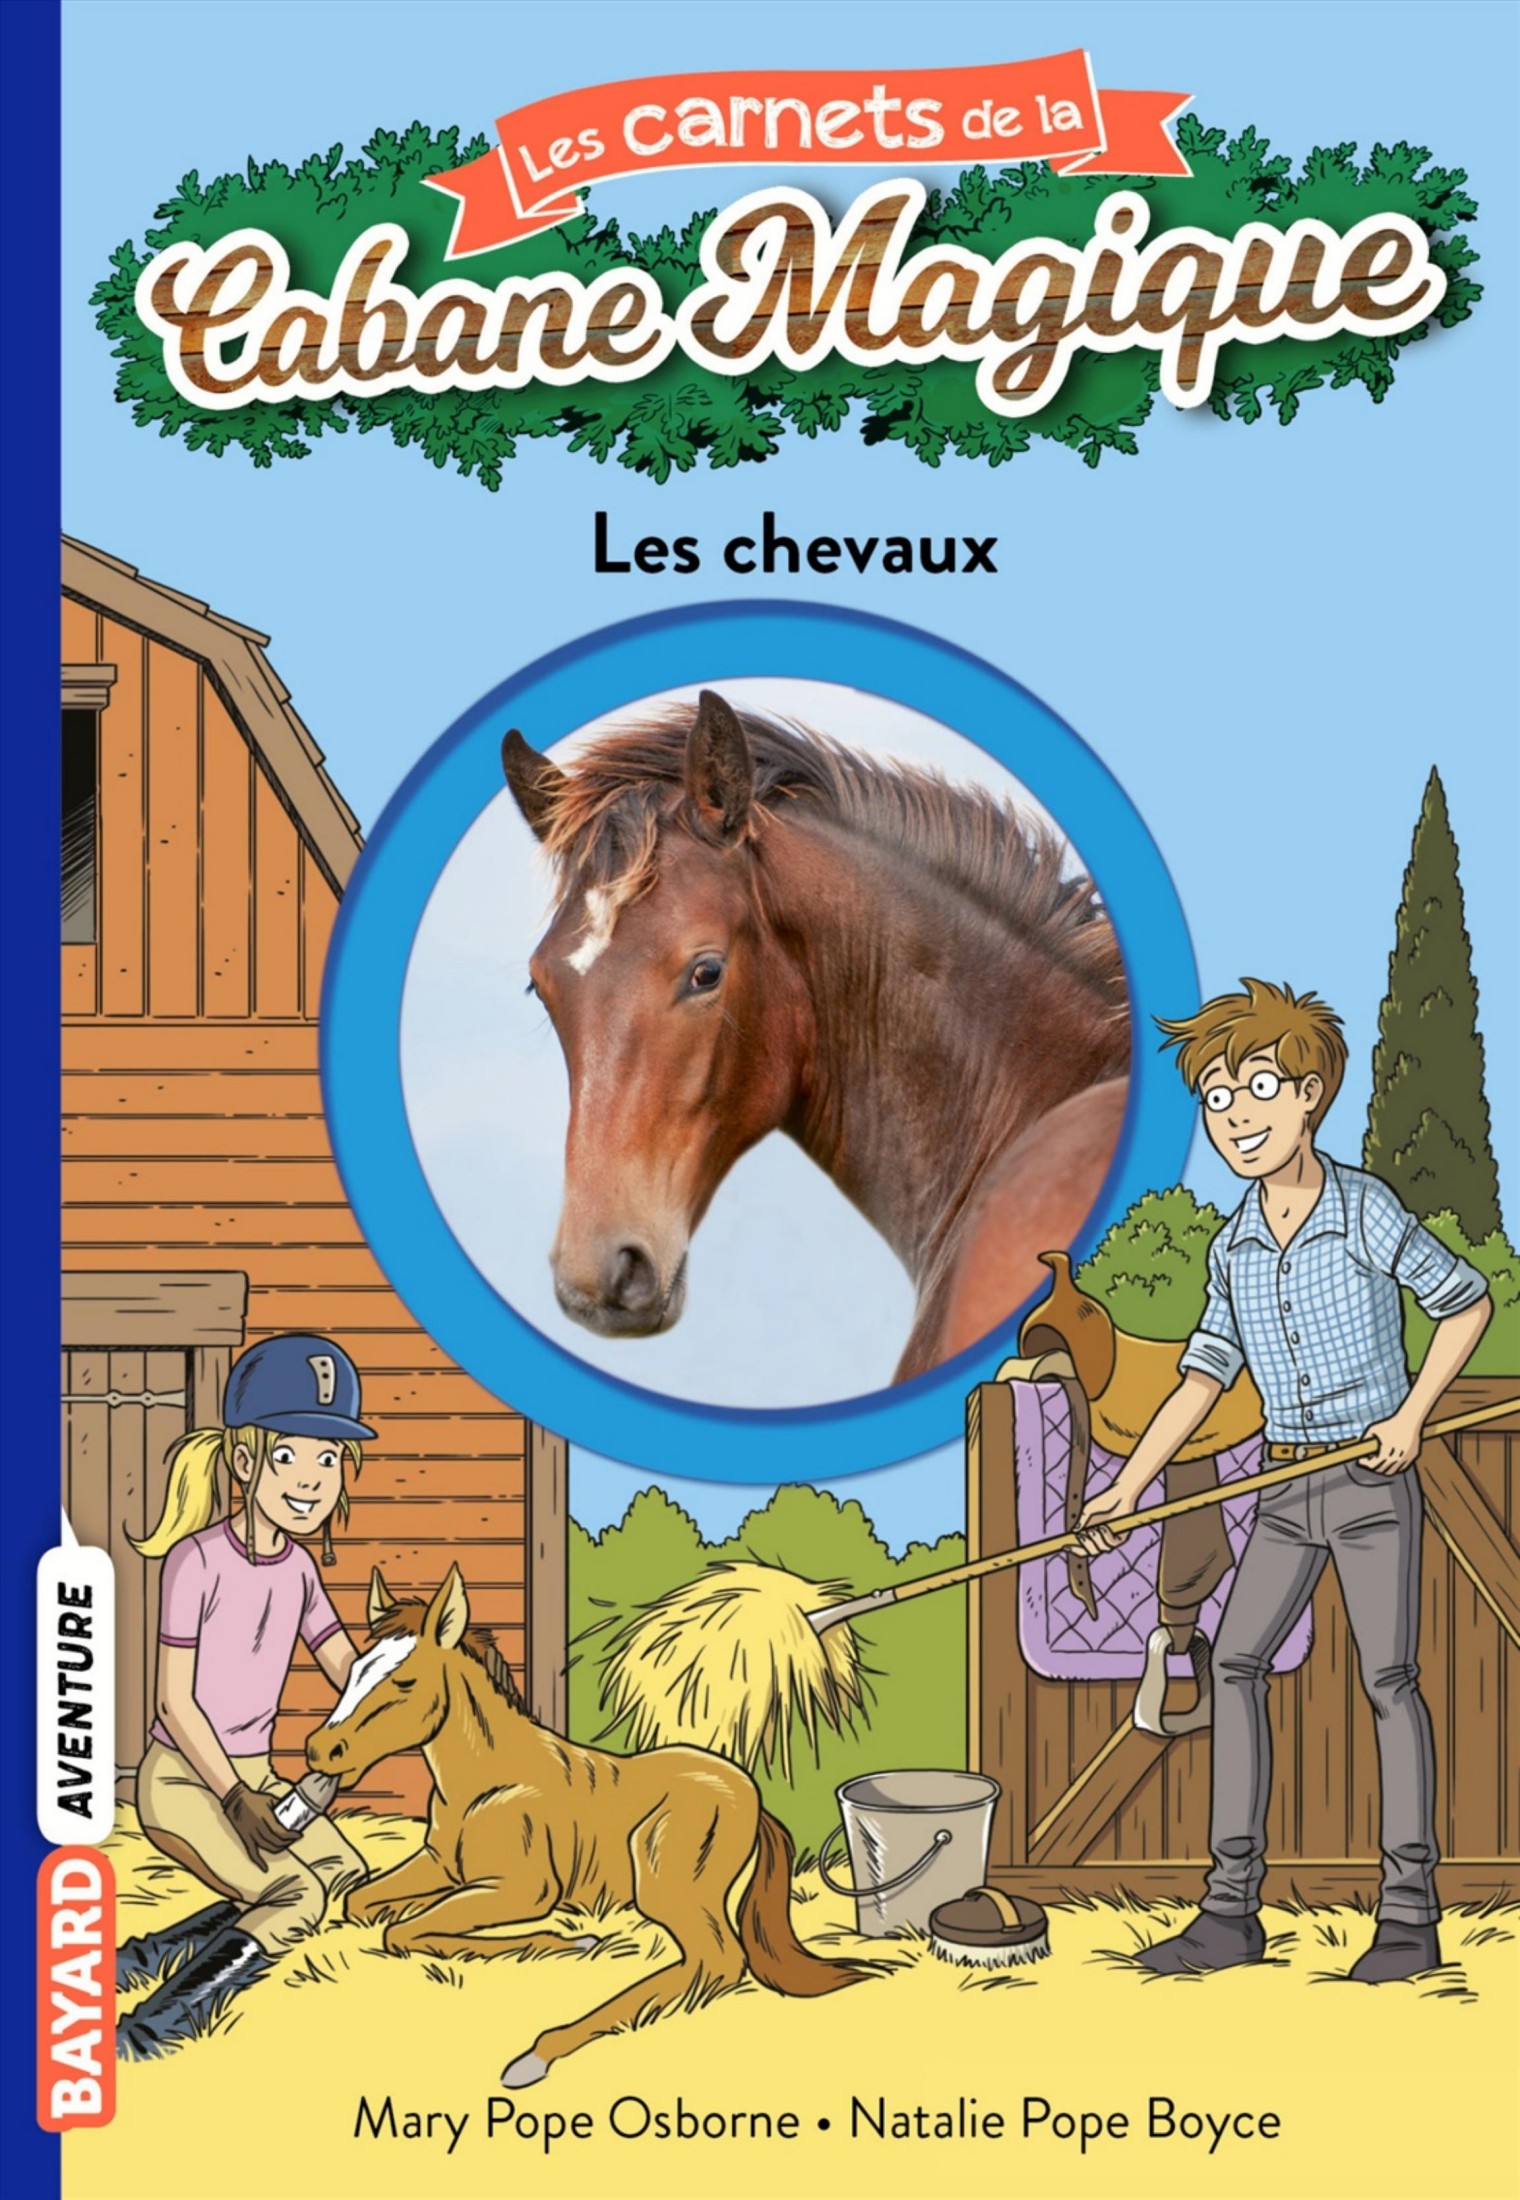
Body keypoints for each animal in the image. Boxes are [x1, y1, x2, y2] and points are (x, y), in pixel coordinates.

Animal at [306, 1565, 866, 2086]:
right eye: (353, 1670)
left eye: (405, 1681)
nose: (320, 1750)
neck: (487, 1781)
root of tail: (750, 1794)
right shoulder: (442, 1867)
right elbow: (365, 1907)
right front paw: (566, 1942)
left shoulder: (524, 1890)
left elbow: (404, 1931)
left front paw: (564, 1941)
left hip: (665, 1889)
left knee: (716, 1962)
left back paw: (537, 2054)